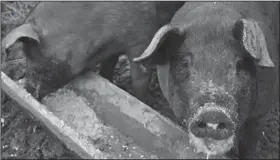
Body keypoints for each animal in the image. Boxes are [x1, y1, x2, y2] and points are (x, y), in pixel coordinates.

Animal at [1, 0, 184, 101]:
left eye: (34, 59)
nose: (29, 90)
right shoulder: (112, 48)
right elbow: (107, 67)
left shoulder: (142, 38)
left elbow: (139, 79)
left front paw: (141, 100)